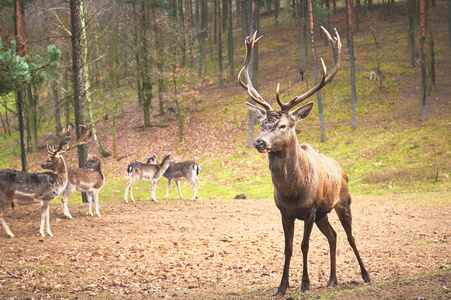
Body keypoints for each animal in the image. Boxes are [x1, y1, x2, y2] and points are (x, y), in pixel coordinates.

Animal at [238, 28, 372, 296]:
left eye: (283, 125)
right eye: (261, 123)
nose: (259, 142)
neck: (292, 191)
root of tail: (342, 169)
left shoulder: (309, 210)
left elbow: (304, 245)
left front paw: (305, 284)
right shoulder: (285, 212)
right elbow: (288, 248)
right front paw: (281, 287)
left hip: (343, 202)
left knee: (350, 237)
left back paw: (366, 275)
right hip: (323, 214)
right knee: (333, 236)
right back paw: (332, 280)